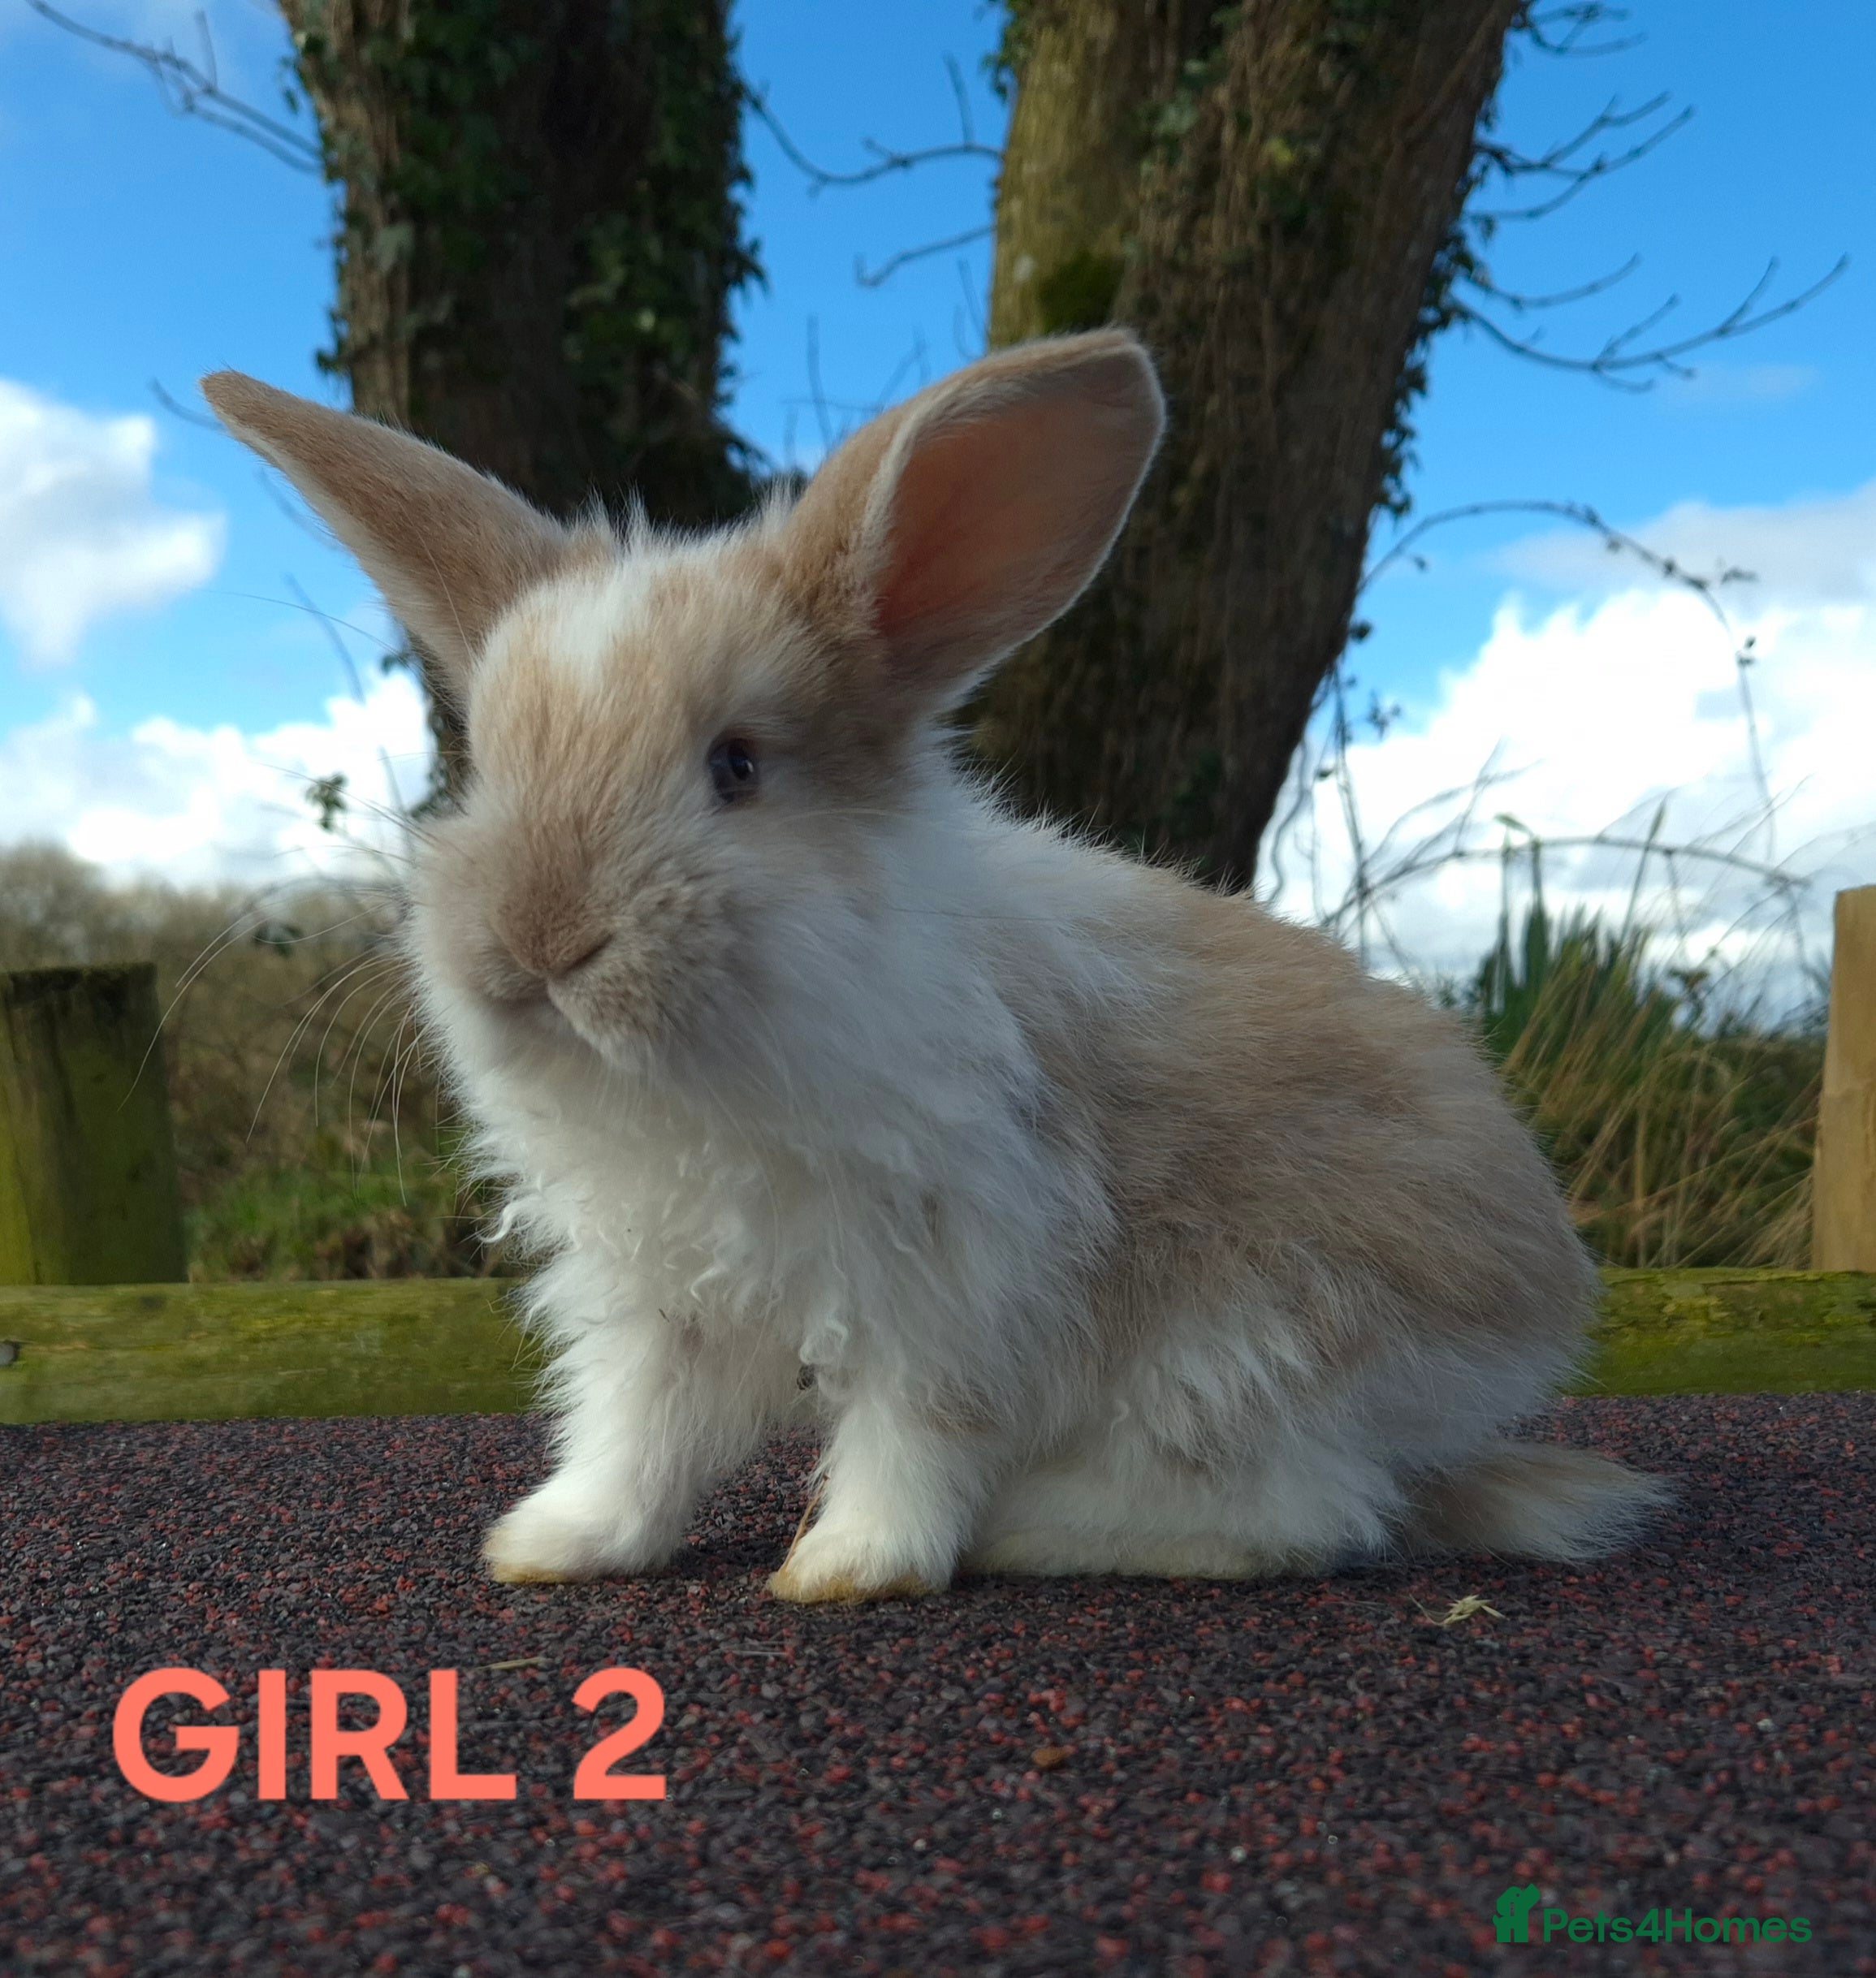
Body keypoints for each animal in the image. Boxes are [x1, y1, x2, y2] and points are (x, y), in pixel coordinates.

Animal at [201, 329, 1669, 1604]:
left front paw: (851, 1570)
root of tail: (1539, 1313)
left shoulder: (958, 1279)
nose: (537, 940)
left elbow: (920, 1432)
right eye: (486, 768)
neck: (714, 1067)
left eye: (737, 766)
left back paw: (1037, 1530)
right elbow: (640, 1434)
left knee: (1312, 1512)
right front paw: (555, 1545)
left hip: (1248, 1346)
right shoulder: (659, 1298)